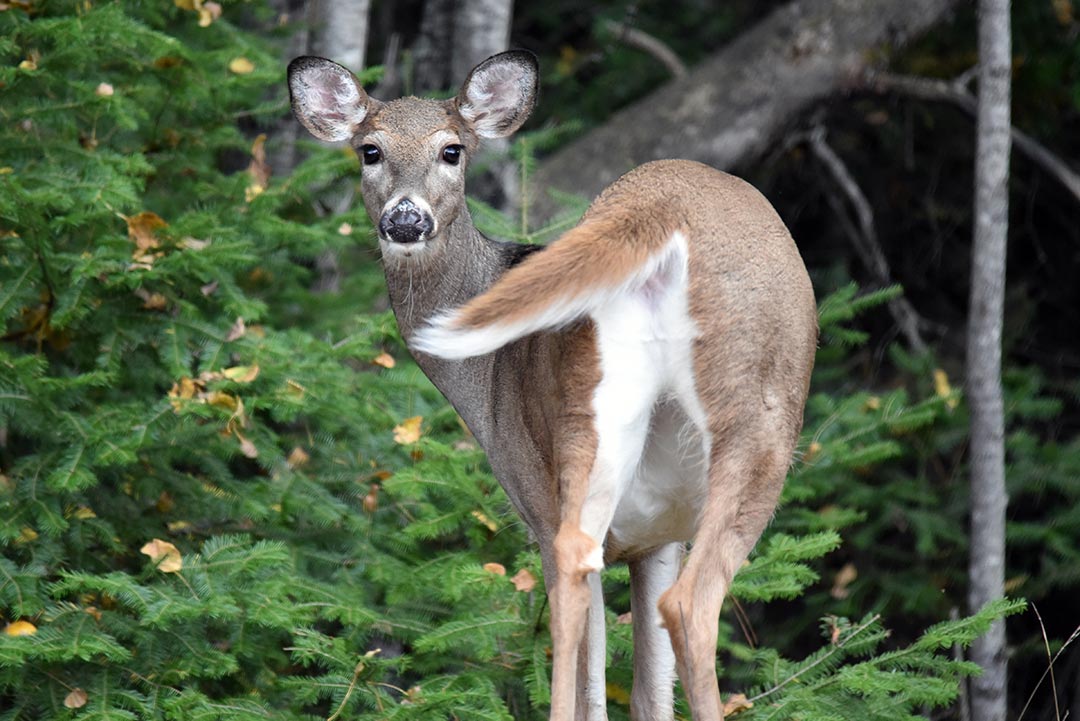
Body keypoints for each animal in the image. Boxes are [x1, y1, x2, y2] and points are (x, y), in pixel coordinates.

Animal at [291, 52, 812, 721]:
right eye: (369, 151)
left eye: (453, 150)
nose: (405, 219)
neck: (485, 382)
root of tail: (660, 212)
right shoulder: (650, 532)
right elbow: (637, 687)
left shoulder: (584, 511)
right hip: (701, 412)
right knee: (668, 600)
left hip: (628, 415)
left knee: (594, 574)